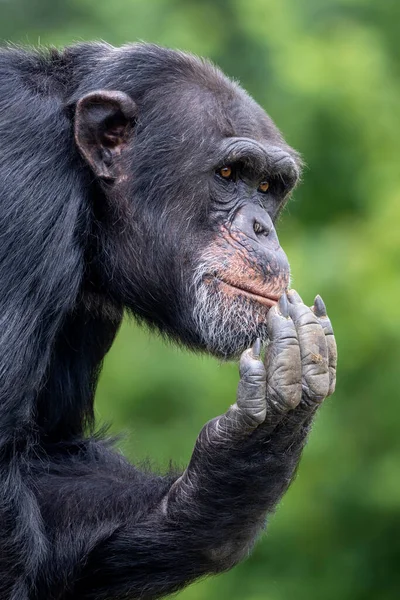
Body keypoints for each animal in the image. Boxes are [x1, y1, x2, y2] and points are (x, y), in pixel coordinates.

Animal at [0, 42, 338, 600]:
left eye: (268, 186)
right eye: (228, 175)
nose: (262, 229)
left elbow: (46, 461)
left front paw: (254, 451)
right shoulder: (24, 191)